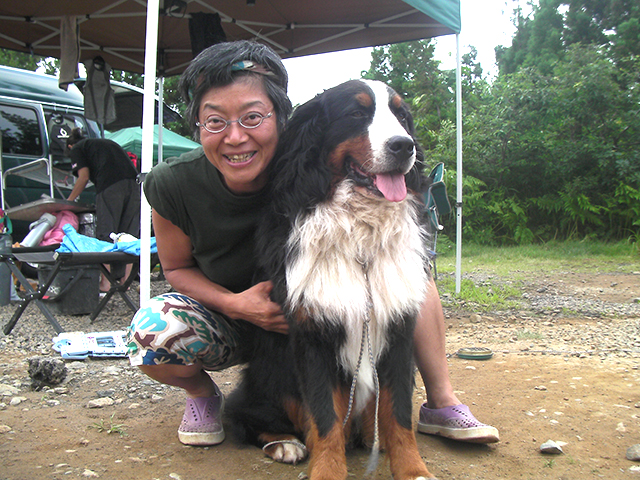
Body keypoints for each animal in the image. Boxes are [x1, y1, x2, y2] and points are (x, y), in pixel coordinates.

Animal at [228, 79, 438, 480]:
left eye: (402, 116)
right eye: (356, 113)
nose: (403, 145)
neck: (360, 238)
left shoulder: (399, 329)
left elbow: (398, 413)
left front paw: (414, 469)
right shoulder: (313, 334)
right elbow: (325, 418)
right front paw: (327, 470)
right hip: (267, 374)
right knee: (245, 416)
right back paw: (284, 443)